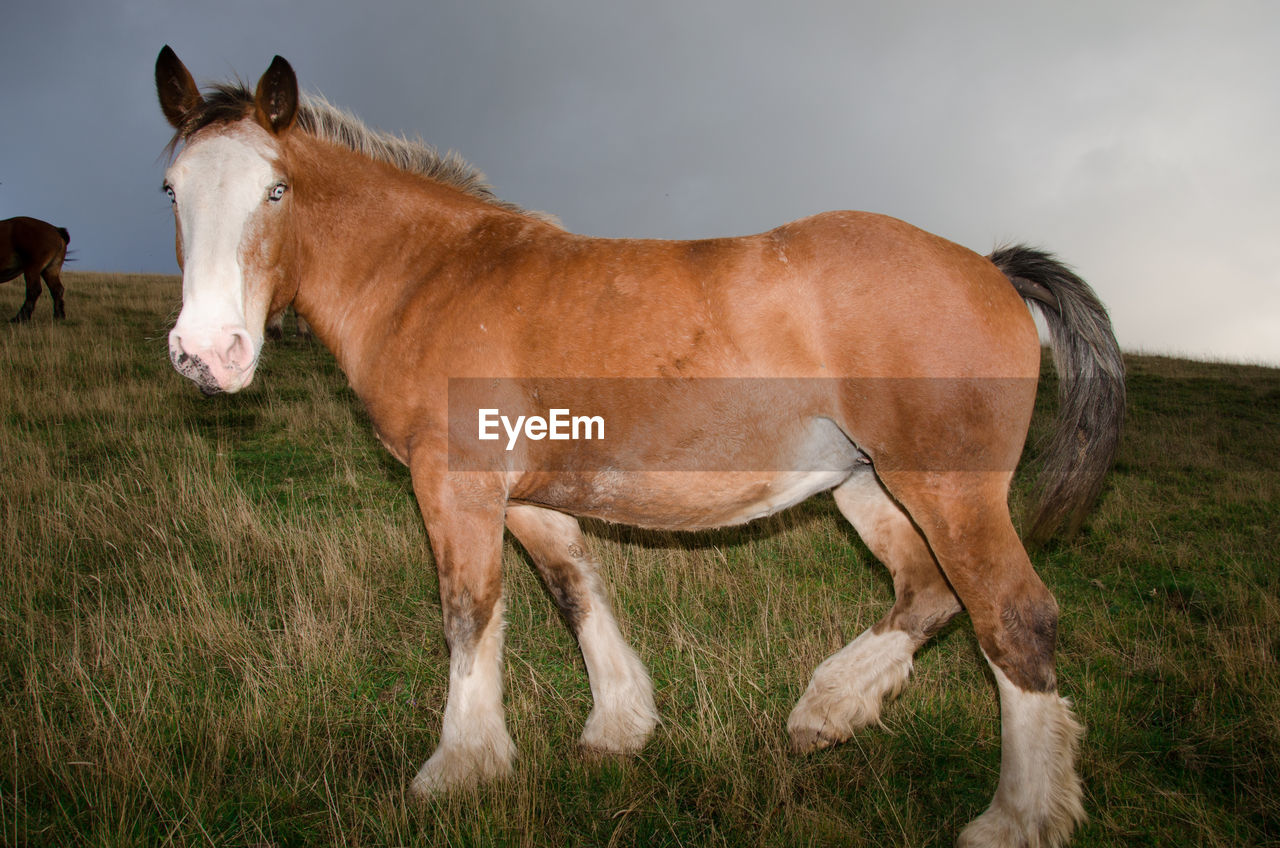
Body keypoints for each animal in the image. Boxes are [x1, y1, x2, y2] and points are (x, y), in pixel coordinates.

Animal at [154, 48, 1126, 848]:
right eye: (170, 189)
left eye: (276, 189)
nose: (207, 354)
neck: (430, 274)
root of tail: (990, 266)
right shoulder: (529, 497)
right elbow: (574, 591)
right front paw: (617, 727)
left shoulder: (455, 487)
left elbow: (469, 612)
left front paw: (458, 768)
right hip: (866, 484)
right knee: (929, 592)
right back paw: (829, 709)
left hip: (947, 488)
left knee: (1013, 618)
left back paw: (1015, 818)